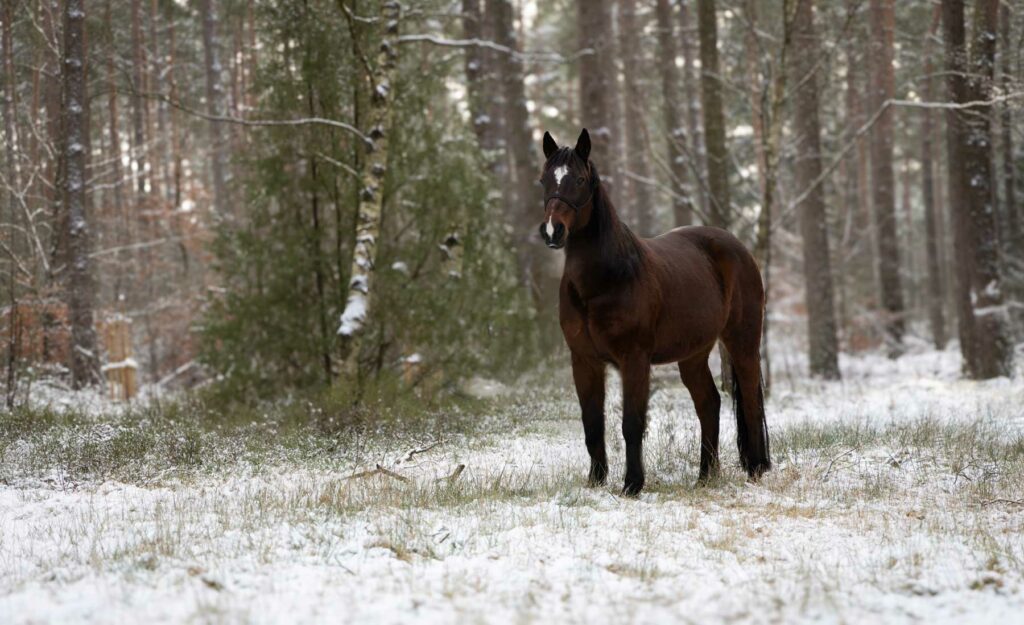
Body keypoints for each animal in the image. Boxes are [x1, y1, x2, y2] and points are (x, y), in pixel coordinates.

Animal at [538, 128, 770, 495]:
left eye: (579, 179)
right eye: (544, 179)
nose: (552, 231)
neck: (607, 278)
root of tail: (736, 247)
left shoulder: (634, 359)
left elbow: (632, 424)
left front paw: (632, 485)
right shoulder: (584, 360)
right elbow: (592, 424)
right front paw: (596, 481)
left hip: (742, 341)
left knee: (749, 398)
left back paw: (757, 468)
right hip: (693, 354)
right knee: (709, 404)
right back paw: (705, 476)